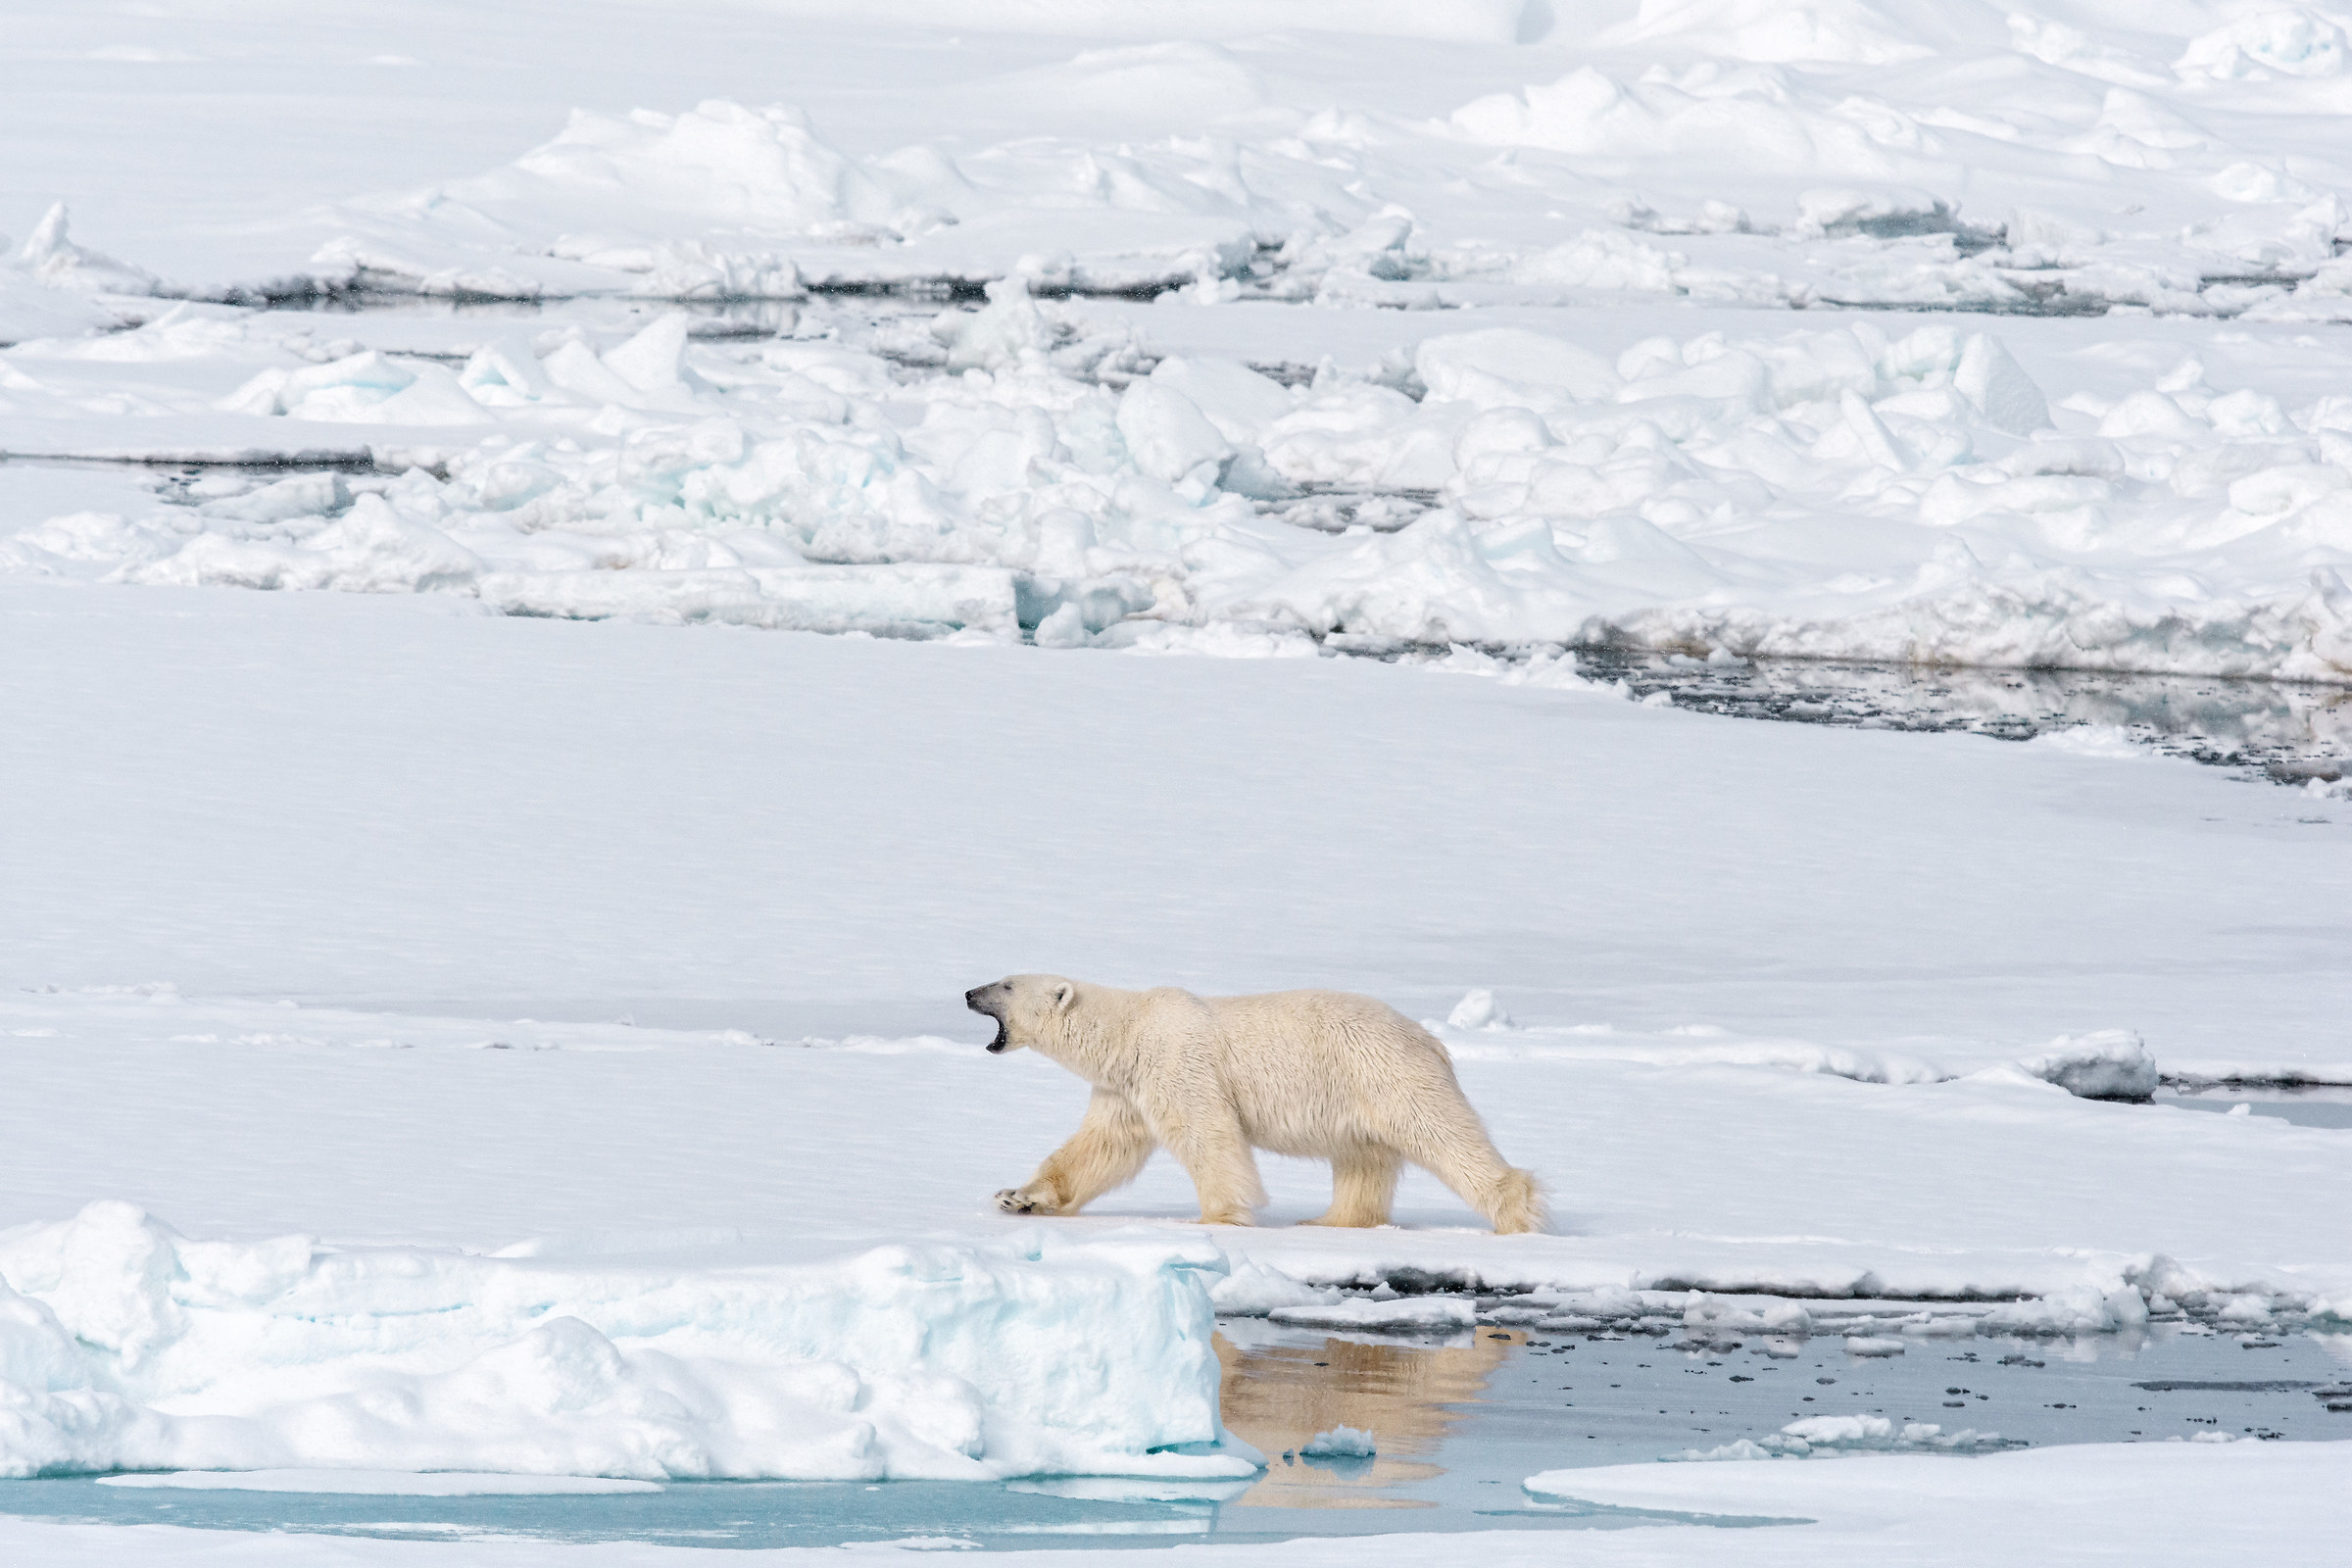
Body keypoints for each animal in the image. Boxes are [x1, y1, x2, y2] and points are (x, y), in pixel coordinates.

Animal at [964, 974, 1544, 1233]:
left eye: (1007, 984)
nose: (969, 992)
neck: (1129, 1030)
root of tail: (1430, 1039)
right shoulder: (1124, 1087)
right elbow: (1100, 1147)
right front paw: (1018, 1197)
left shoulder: (1177, 1062)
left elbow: (1208, 1134)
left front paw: (1217, 1218)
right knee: (1362, 1159)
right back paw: (1328, 1222)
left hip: (1385, 1072)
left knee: (1441, 1132)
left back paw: (1516, 1213)